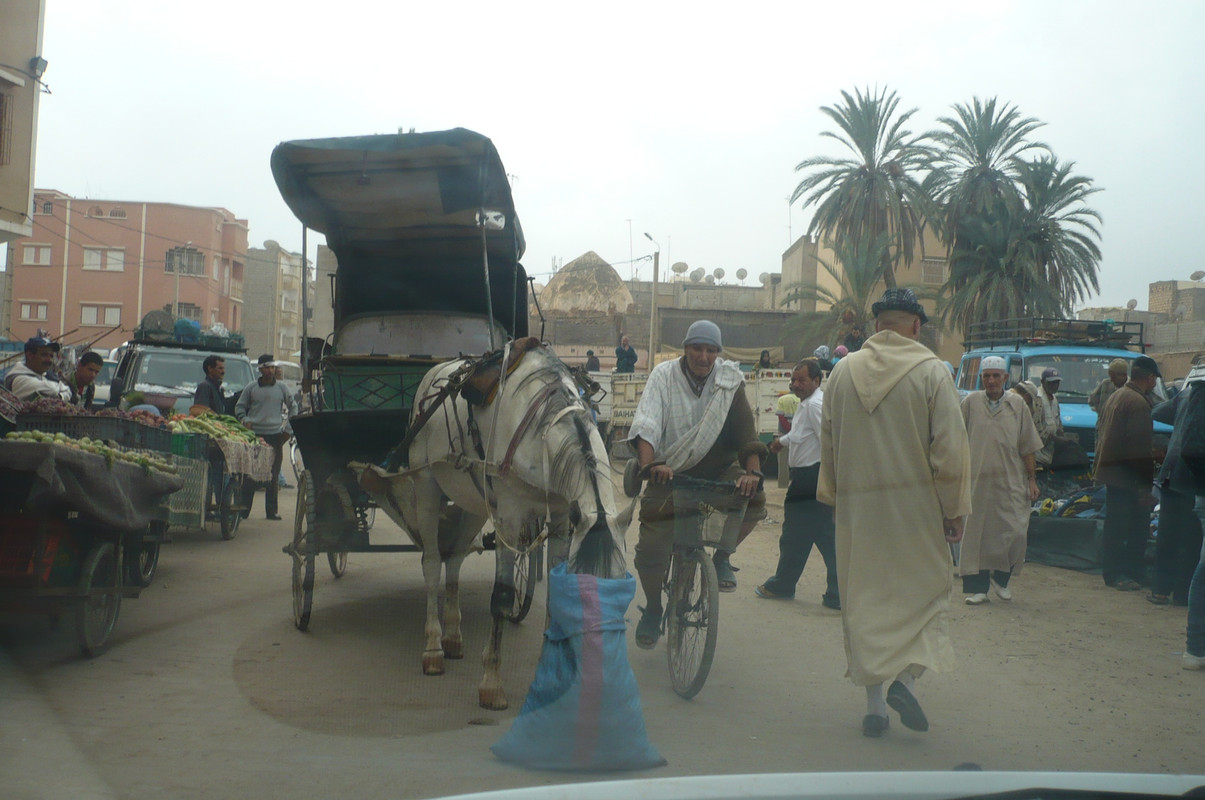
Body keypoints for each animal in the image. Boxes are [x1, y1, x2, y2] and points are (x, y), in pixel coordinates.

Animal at [354, 337, 621, 708]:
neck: (542, 426)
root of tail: (436, 373)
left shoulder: (562, 518)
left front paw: (549, 676)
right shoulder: (509, 516)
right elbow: (502, 598)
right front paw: (491, 682)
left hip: (472, 502)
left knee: (453, 559)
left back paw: (453, 636)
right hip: (426, 485)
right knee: (432, 563)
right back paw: (434, 647)